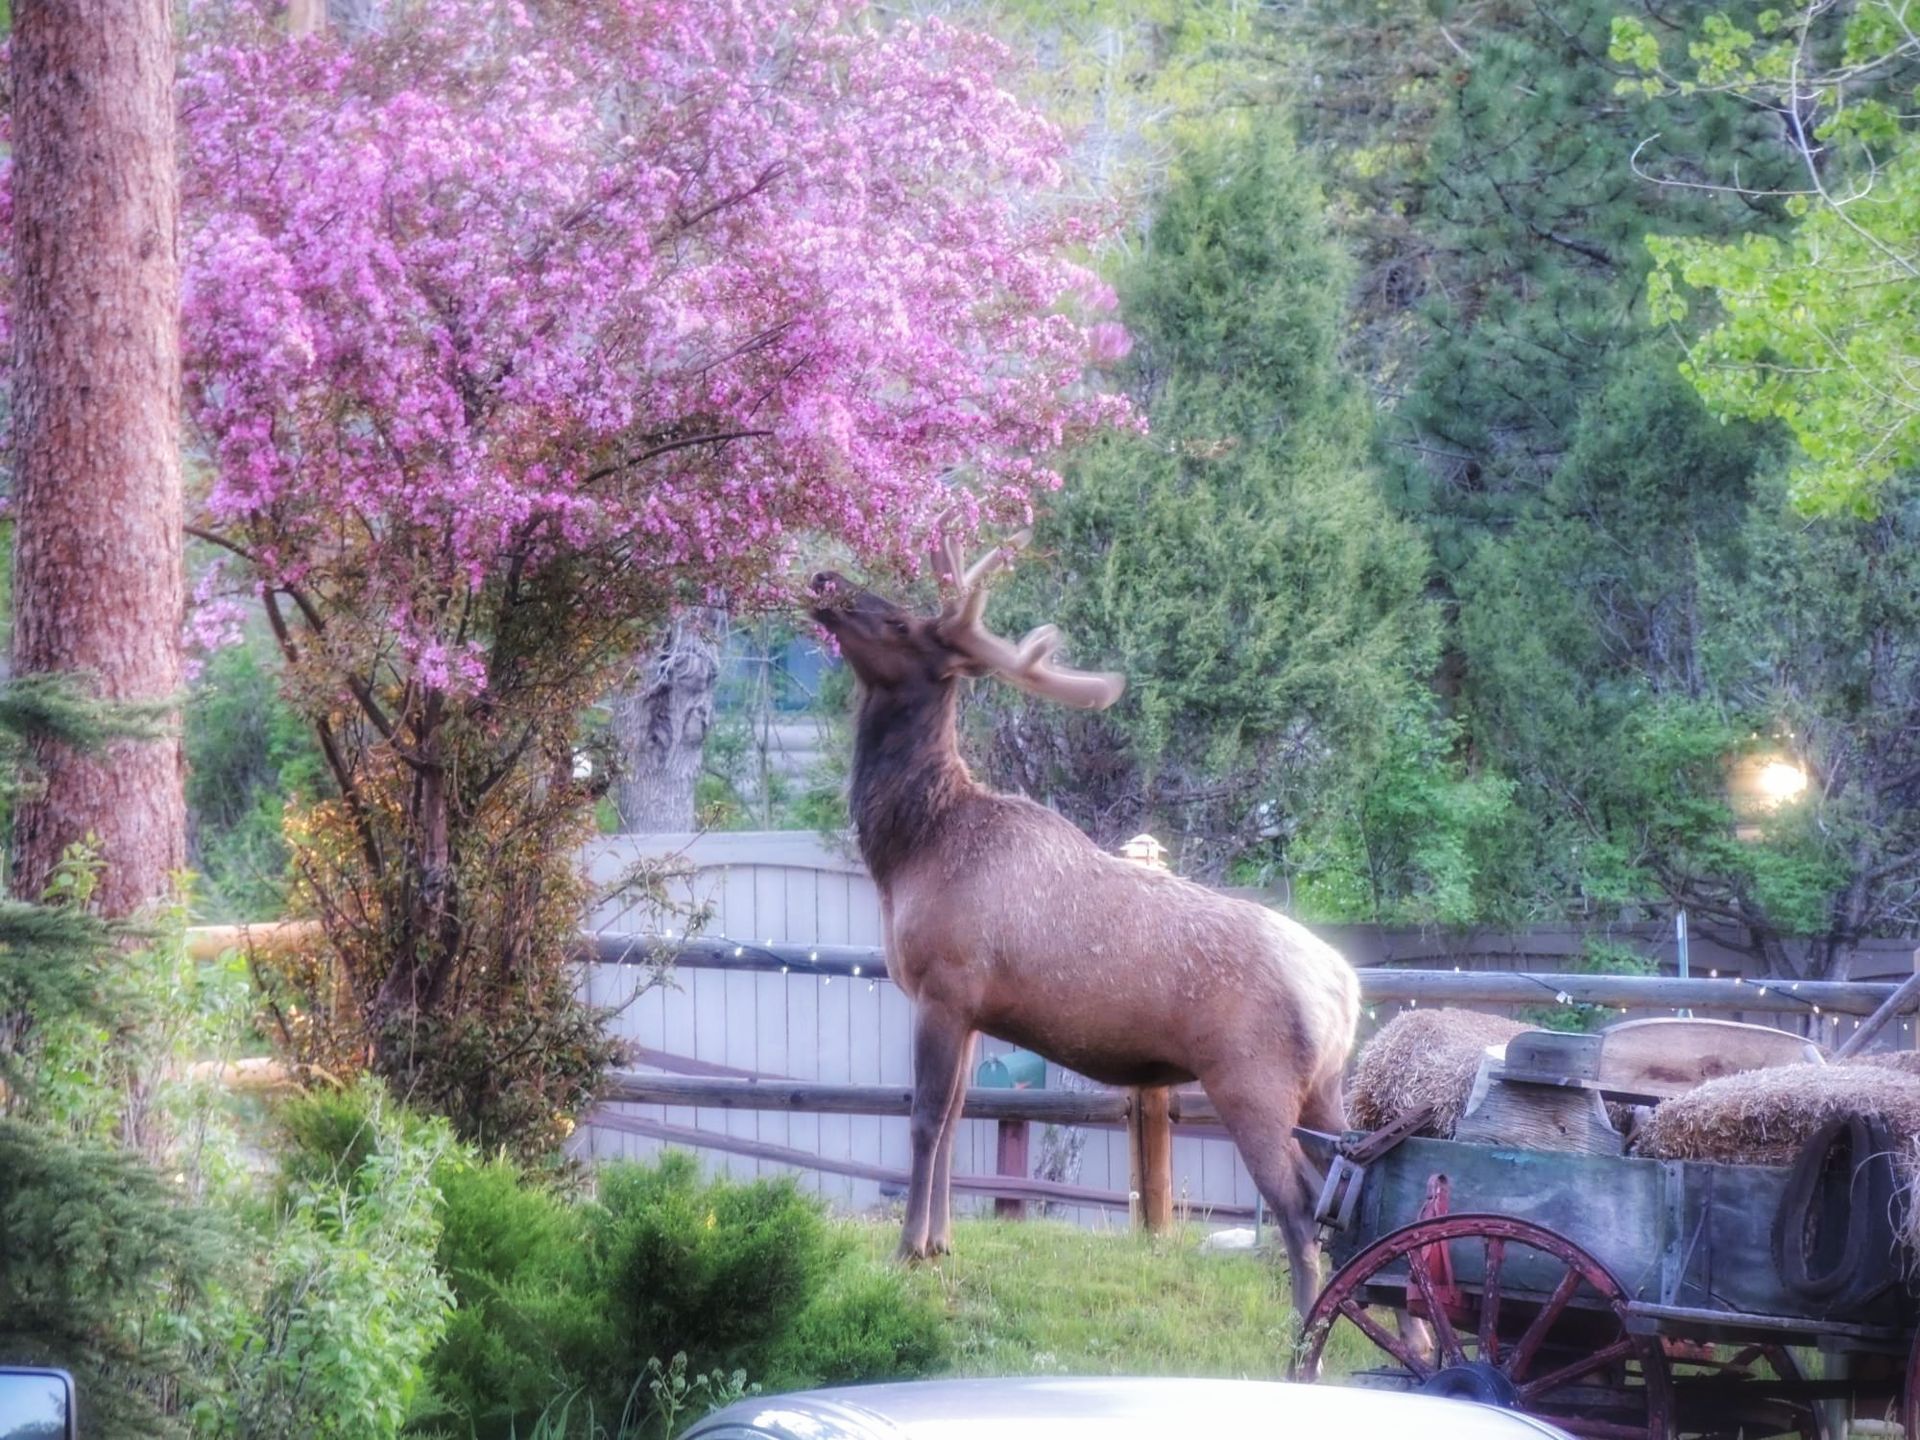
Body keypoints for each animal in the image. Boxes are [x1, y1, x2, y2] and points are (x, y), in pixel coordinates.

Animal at [806, 521, 1360, 1316]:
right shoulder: (970, 1010)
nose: (826, 581)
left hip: (1252, 1082)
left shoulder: (944, 986)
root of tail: (1345, 991)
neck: (910, 851)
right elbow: (956, 1118)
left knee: (1302, 1203)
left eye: (902, 624)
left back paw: (1304, 1322)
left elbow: (923, 1118)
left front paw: (909, 1248)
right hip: (1326, 1087)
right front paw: (943, 1242)